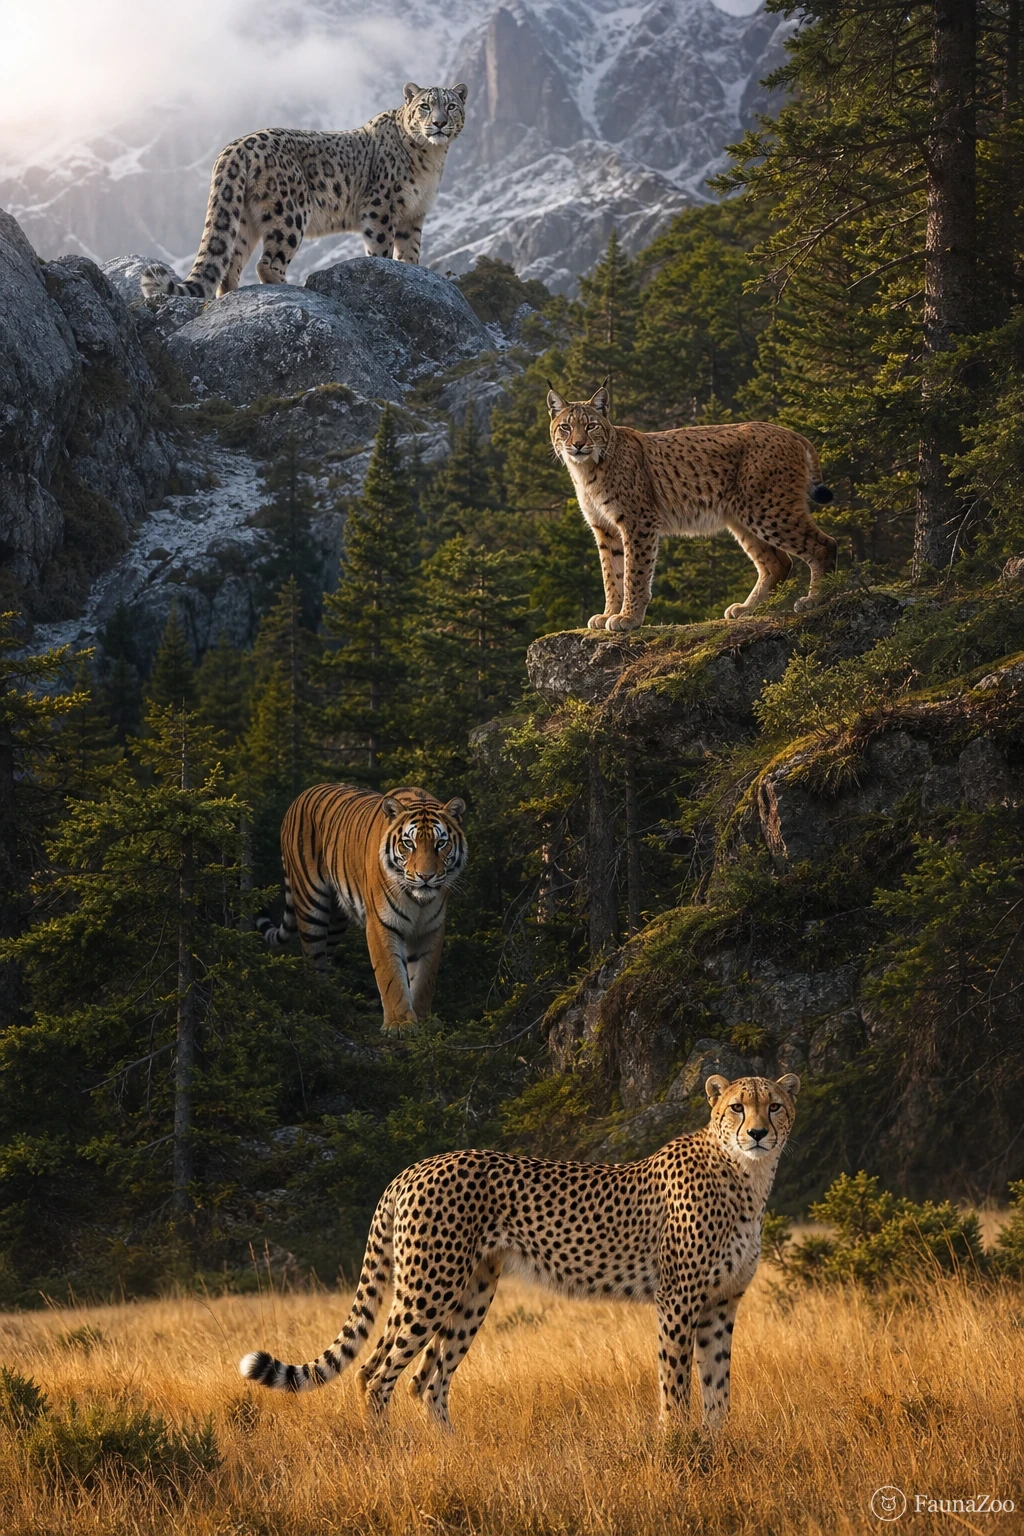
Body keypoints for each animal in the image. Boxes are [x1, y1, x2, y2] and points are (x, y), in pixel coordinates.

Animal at [256, 785, 467, 1031]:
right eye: (408, 844)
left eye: (440, 844)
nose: (425, 876)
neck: (419, 901)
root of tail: (300, 795)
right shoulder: (382, 923)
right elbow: (391, 974)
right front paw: (400, 1023)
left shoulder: (431, 928)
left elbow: (425, 977)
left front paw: (423, 1021)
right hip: (310, 904)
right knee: (313, 959)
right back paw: (321, 1003)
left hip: (337, 919)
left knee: (325, 955)